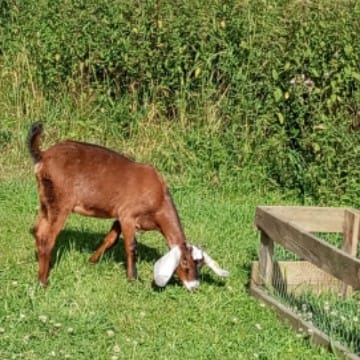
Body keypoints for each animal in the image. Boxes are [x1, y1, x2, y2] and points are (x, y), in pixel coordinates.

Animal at [29, 123, 229, 290]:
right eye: (185, 263)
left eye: (200, 265)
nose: (194, 286)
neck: (159, 200)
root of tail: (43, 155)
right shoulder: (129, 215)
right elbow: (131, 246)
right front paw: (133, 278)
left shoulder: (120, 215)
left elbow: (110, 239)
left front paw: (91, 260)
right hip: (60, 202)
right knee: (47, 237)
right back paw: (43, 281)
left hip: (46, 201)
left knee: (38, 229)